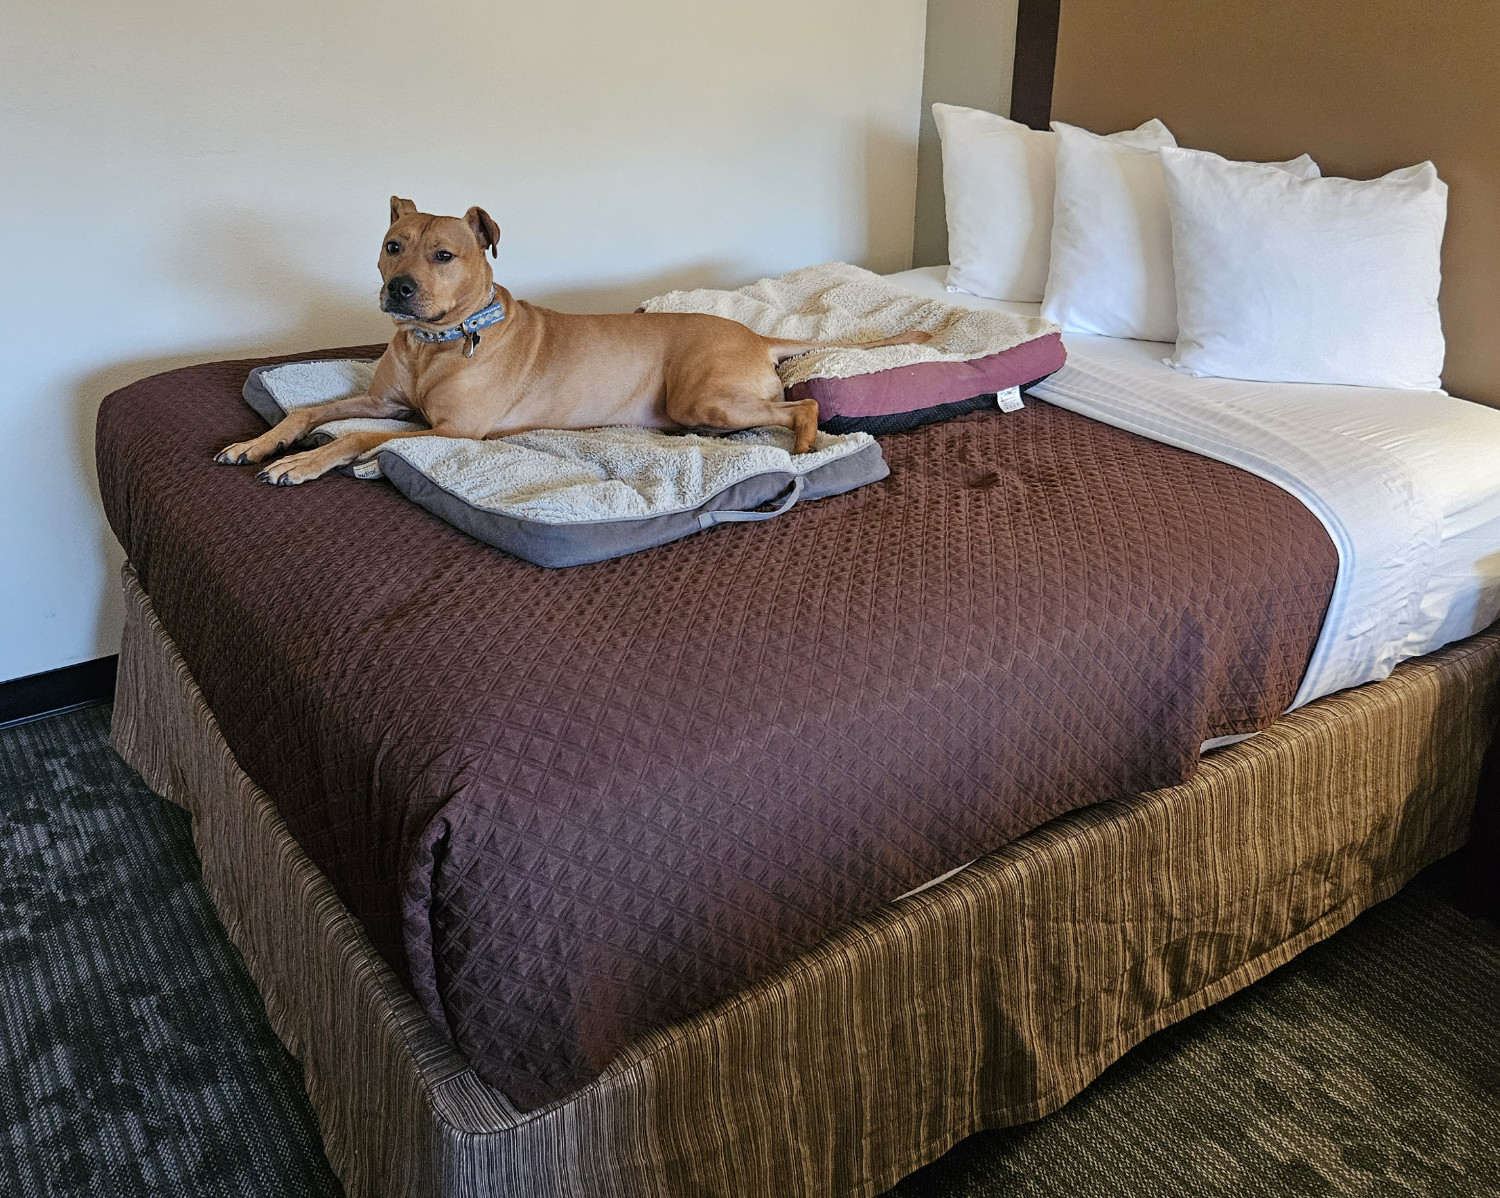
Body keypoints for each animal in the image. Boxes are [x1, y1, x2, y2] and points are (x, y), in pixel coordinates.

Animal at [217, 196, 930, 482]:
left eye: (444, 255)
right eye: (393, 247)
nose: (400, 289)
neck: (435, 342)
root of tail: (753, 332)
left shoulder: (451, 431)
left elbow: (360, 439)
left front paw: (303, 462)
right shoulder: (386, 403)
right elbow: (309, 412)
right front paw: (259, 443)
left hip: (705, 395)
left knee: (803, 404)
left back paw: (806, 447)